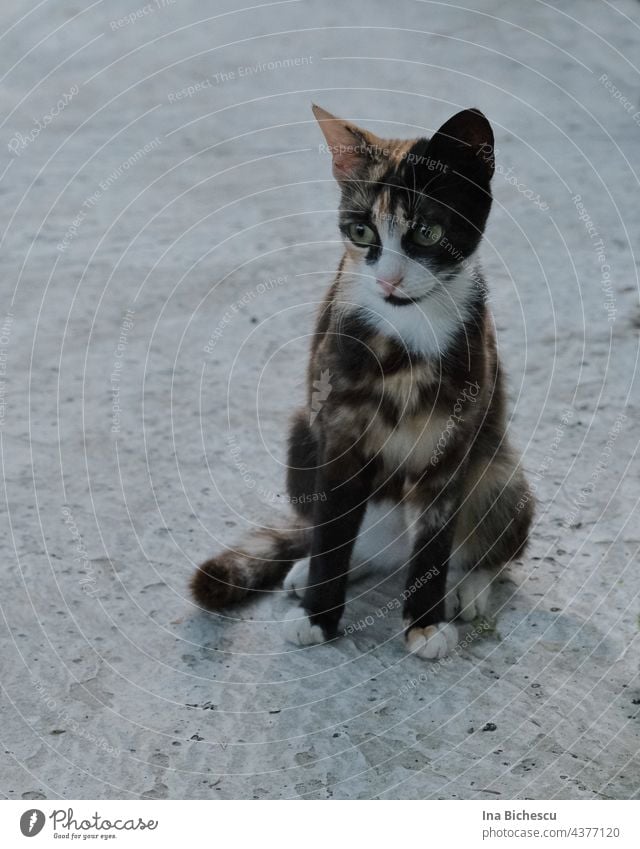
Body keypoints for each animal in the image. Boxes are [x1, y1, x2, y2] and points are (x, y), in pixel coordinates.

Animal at [191, 106, 536, 660]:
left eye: (427, 233)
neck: (405, 333)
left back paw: (467, 587)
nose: (389, 280)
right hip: (301, 438)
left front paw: (425, 623)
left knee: (489, 537)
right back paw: (317, 571)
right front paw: (318, 615)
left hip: (499, 469)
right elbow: (333, 528)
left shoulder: (452, 439)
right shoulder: (338, 431)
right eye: (360, 231)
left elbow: (437, 539)